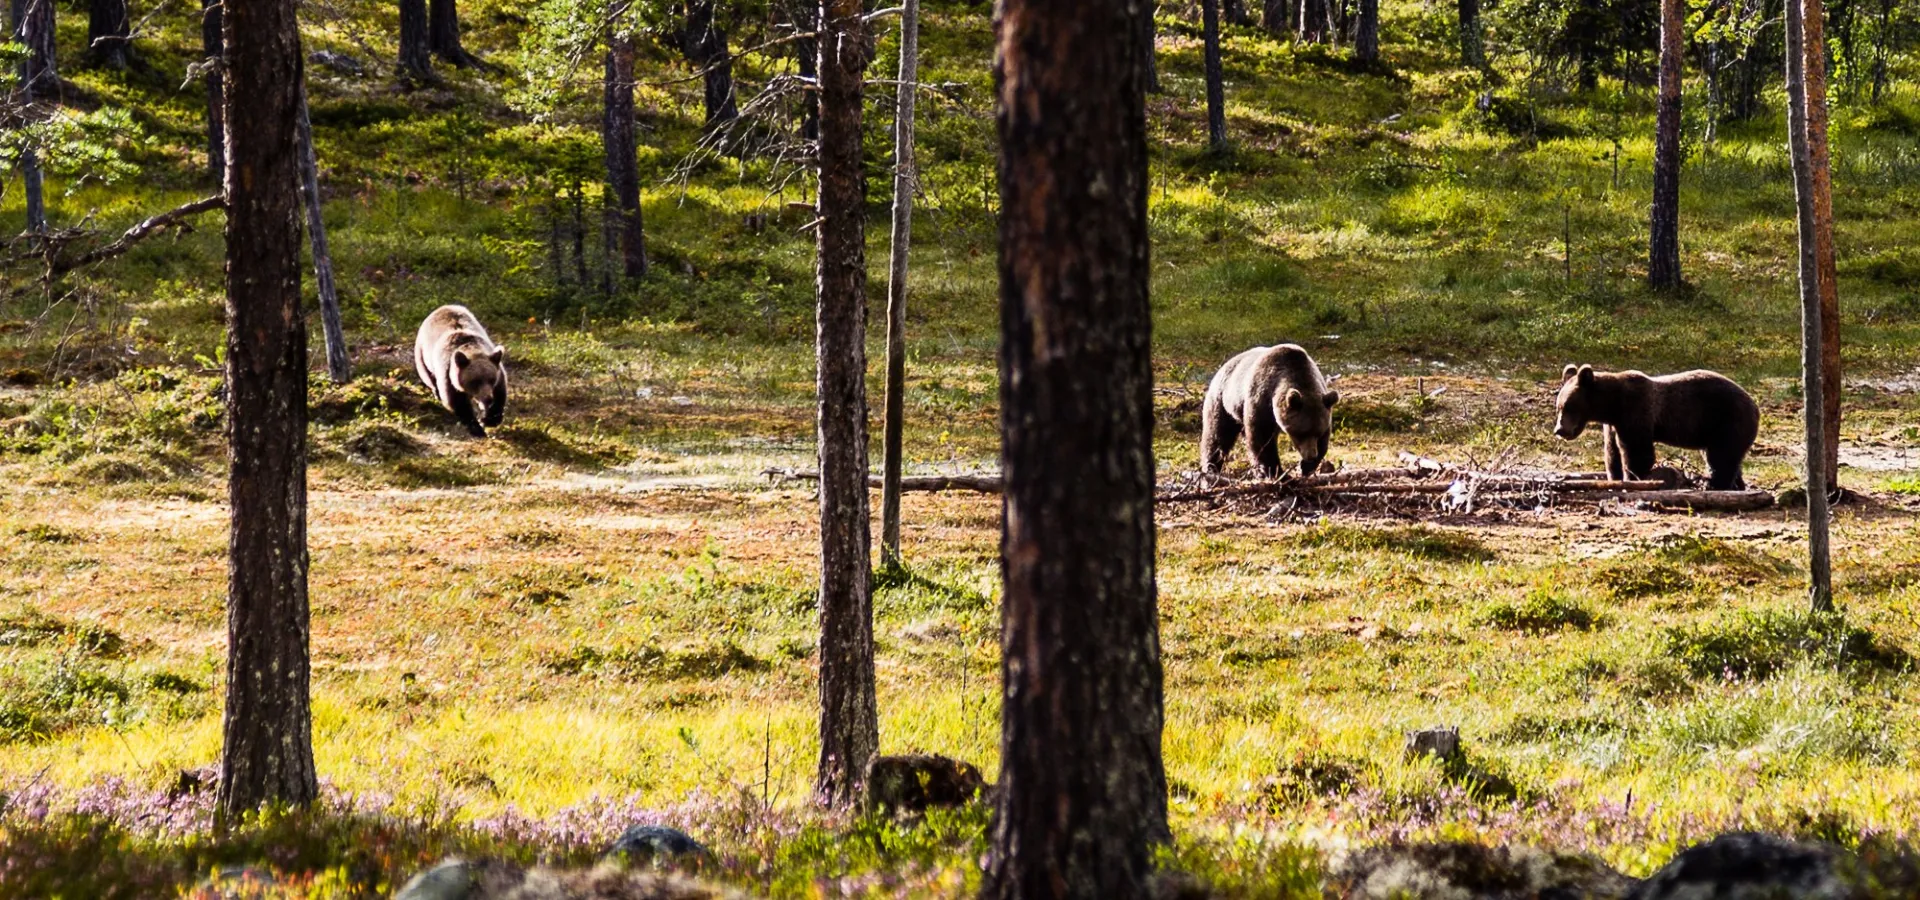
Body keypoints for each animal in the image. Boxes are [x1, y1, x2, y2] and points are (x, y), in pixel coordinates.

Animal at [412, 305, 506, 439]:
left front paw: (490, 419)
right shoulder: (448, 375)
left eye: (491, 379)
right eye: (475, 381)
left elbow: (500, 393)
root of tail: (442, 307)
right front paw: (477, 428)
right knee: (429, 377)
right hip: (422, 355)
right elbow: (458, 403)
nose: (488, 398)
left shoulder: (497, 372)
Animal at [1198, 341, 1336, 477]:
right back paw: (1211, 467)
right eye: (1301, 433)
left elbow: (1324, 442)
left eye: (1318, 432)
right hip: (1223, 400)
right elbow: (1262, 437)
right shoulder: (1261, 398)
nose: (1311, 455)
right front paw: (1278, 473)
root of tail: (1224, 366)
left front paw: (1306, 466)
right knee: (1217, 434)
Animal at [1551, 362, 1758, 491]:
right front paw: (1615, 477)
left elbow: (1638, 452)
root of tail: (1755, 406)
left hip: (1727, 420)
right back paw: (1736, 485)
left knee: (1721, 456)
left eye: (1568, 406)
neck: (1612, 405)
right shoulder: (1613, 424)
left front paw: (1633, 479)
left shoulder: (1635, 412)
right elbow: (1612, 453)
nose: (1560, 430)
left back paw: (1715, 484)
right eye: (1558, 407)